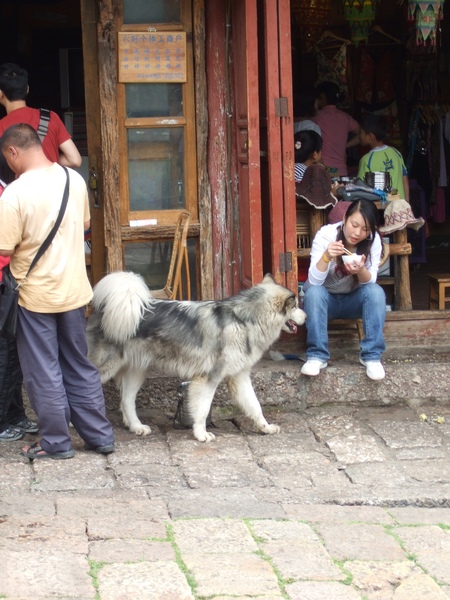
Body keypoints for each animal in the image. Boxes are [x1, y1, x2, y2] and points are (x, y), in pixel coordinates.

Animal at [87, 272, 306, 440]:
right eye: (295, 306)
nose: (305, 317)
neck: (243, 320)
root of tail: (105, 310)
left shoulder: (239, 377)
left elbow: (255, 406)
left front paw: (265, 427)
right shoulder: (208, 379)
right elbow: (202, 409)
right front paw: (201, 435)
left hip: (136, 371)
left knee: (126, 401)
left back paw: (136, 427)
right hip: (104, 368)